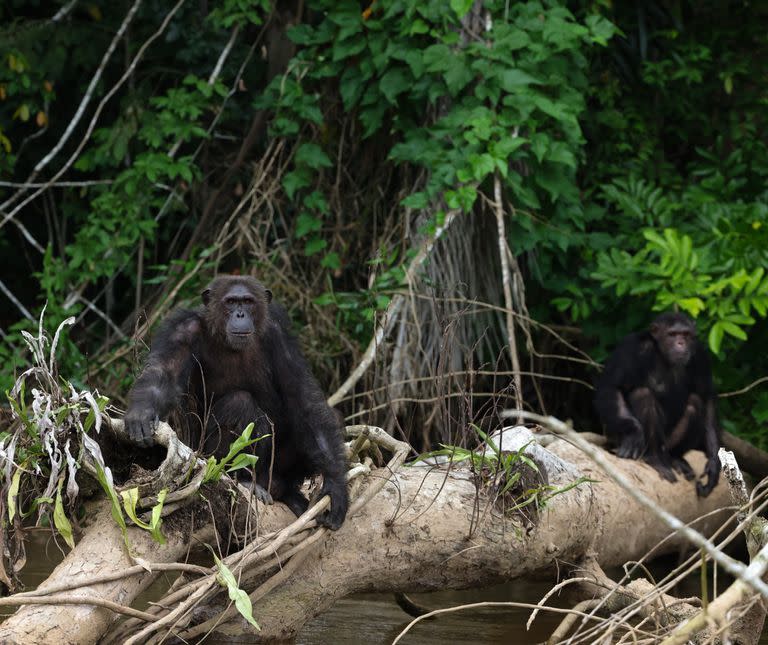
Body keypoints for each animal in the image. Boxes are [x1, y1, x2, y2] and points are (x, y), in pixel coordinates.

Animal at [124, 274, 350, 532]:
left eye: (248, 302)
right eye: (231, 302)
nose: (240, 314)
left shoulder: (279, 335)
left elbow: (302, 398)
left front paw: (336, 488)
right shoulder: (181, 332)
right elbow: (163, 374)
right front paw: (140, 414)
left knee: (328, 419)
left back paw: (290, 493)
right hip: (207, 455)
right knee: (239, 403)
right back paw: (245, 480)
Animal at [592, 312, 720, 498]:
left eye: (686, 334)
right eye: (672, 334)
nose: (681, 343)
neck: (662, 354)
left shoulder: (700, 355)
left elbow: (706, 397)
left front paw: (714, 465)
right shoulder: (631, 349)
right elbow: (613, 387)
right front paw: (633, 432)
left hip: (669, 443)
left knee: (695, 403)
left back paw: (676, 459)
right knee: (644, 395)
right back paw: (654, 459)